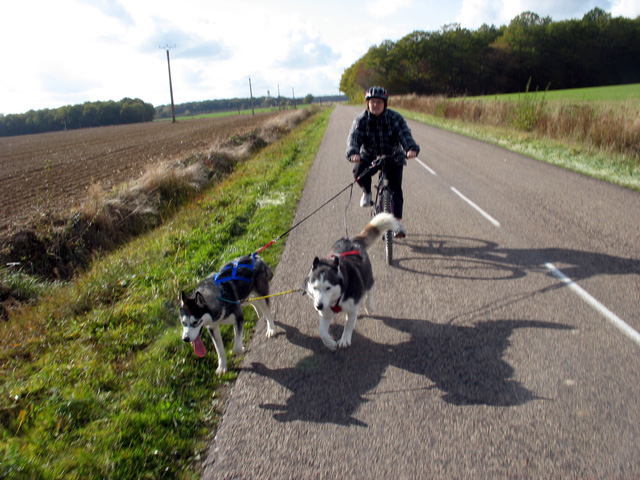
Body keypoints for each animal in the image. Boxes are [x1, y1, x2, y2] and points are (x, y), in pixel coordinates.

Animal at [302, 216, 398, 350]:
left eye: (328, 288)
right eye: (315, 287)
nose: (318, 306)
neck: (338, 296)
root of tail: (351, 240)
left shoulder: (352, 308)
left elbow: (348, 324)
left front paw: (345, 339)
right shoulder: (325, 312)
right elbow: (322, 332)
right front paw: (330, 343)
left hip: (367, 278)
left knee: (369, 290)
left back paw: (369, 306)